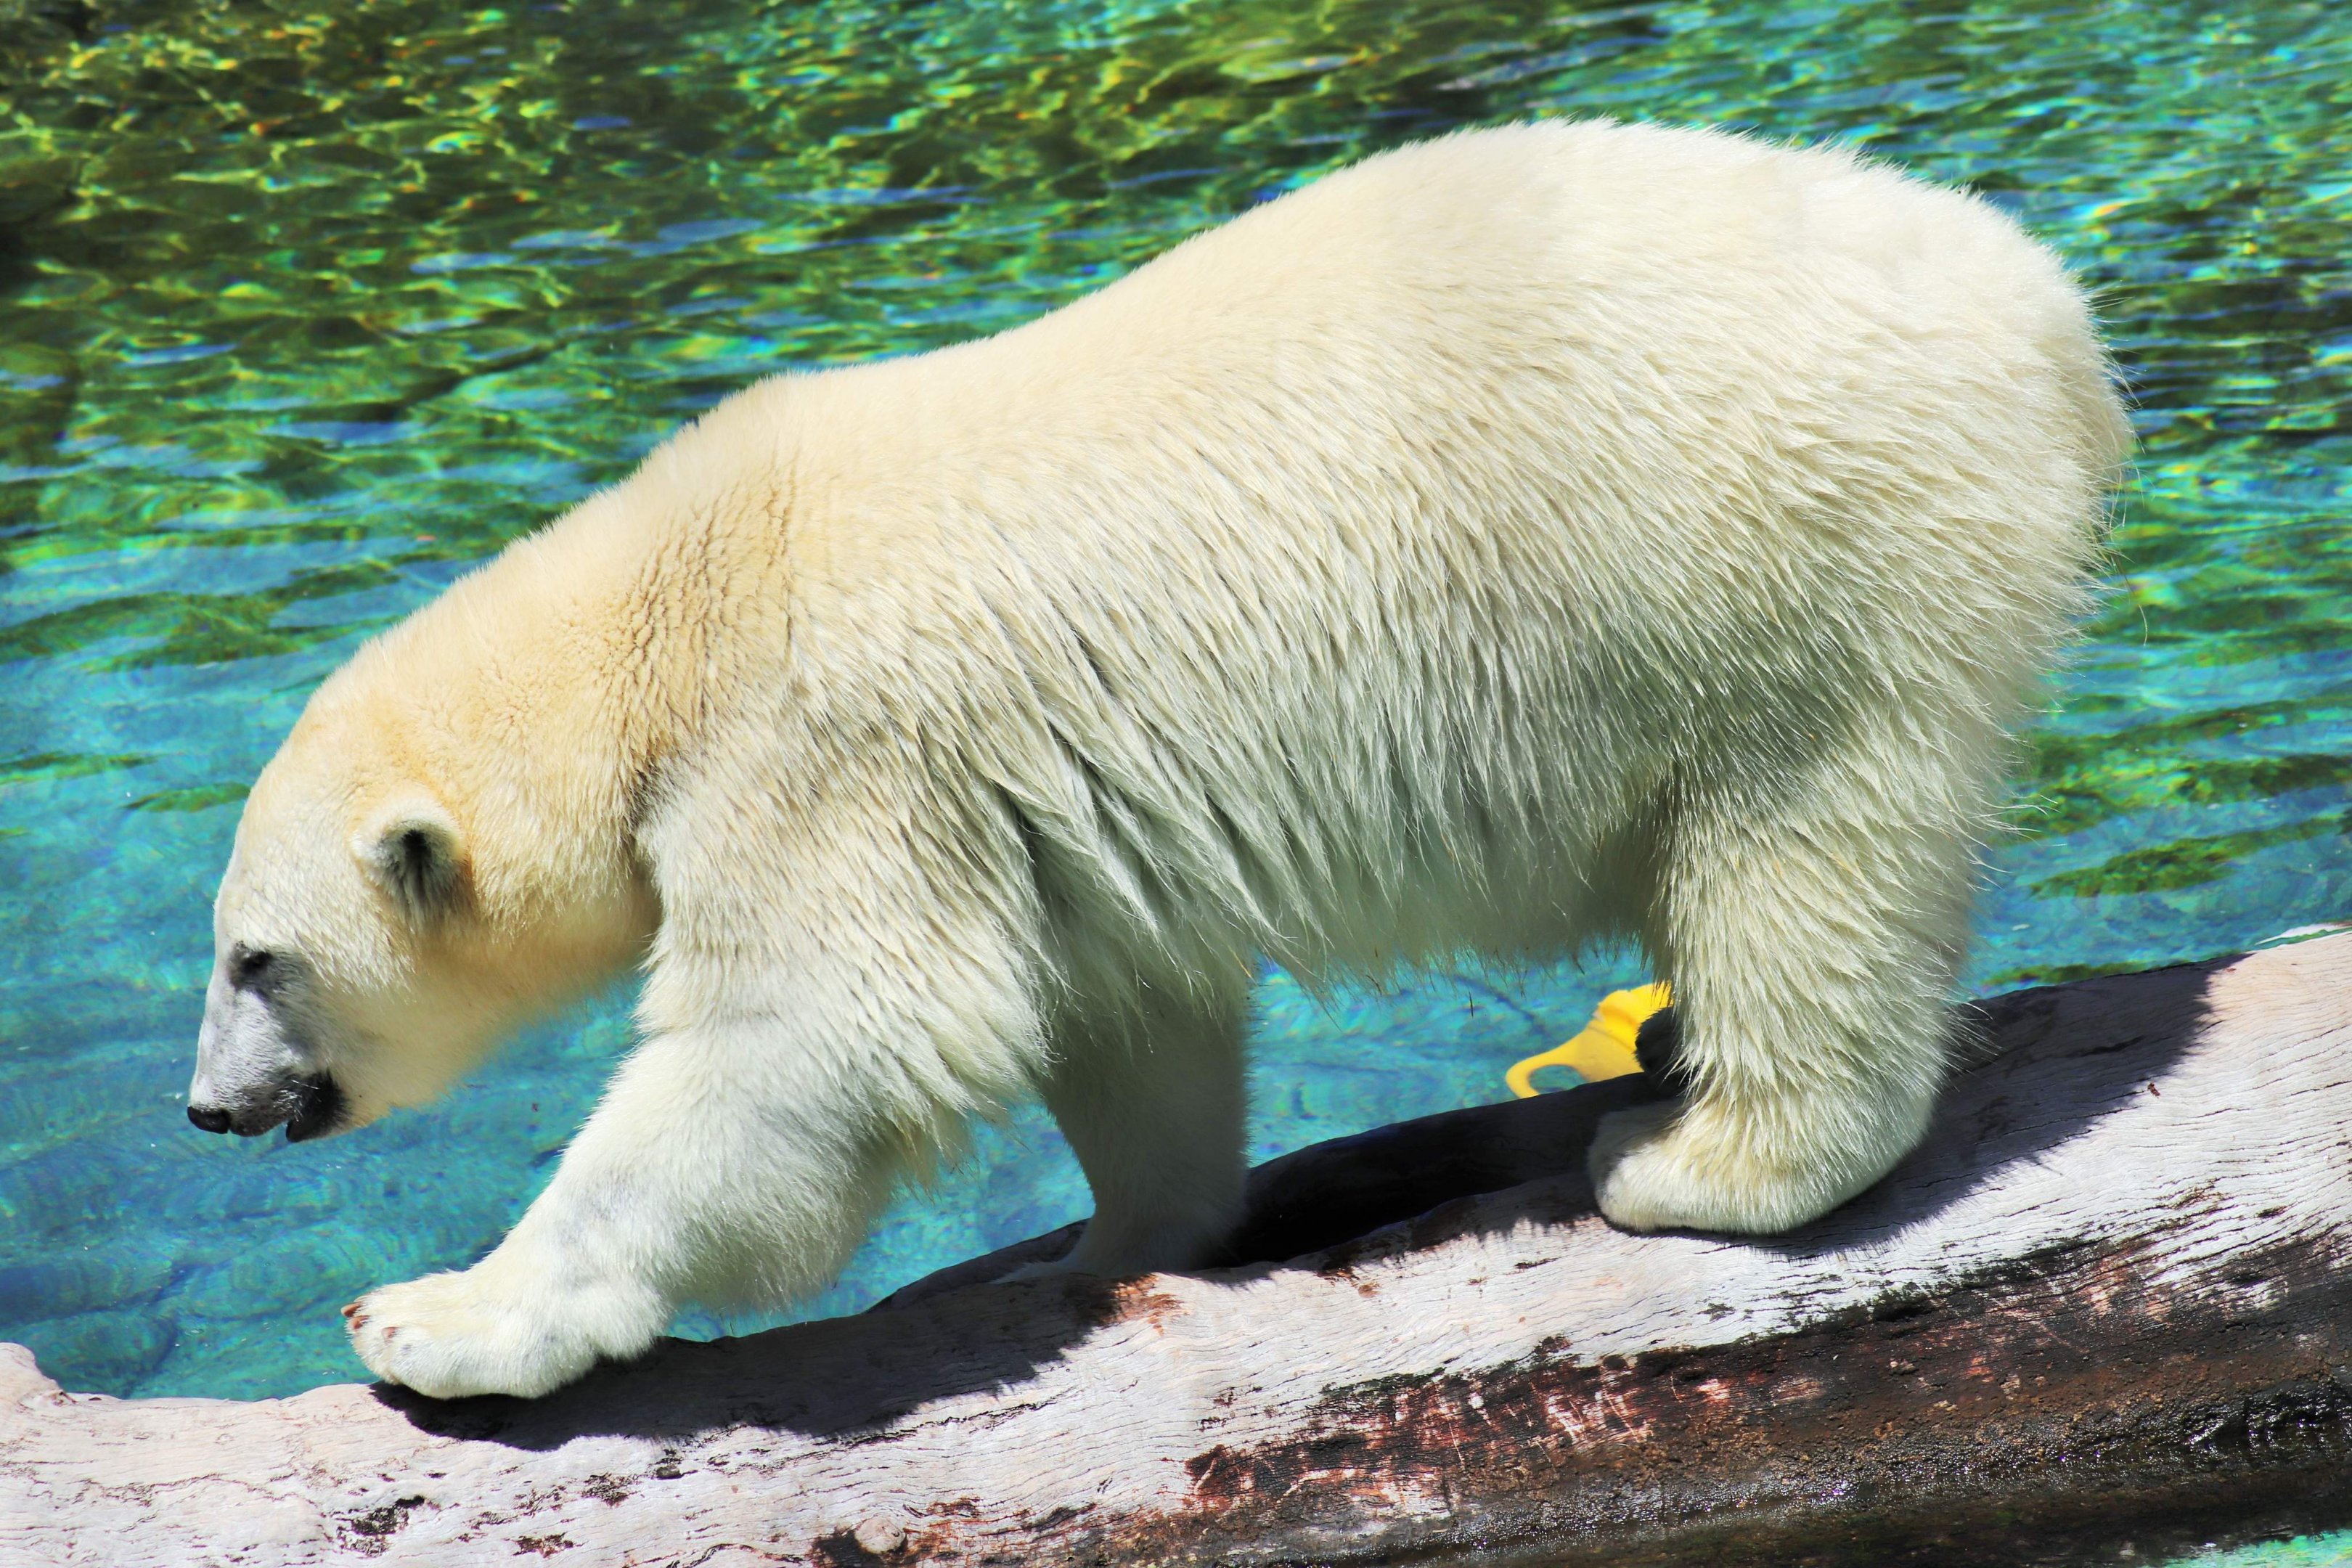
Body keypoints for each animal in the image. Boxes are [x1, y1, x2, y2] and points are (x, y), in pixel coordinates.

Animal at [185, 119, 2129, 1400]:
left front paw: (437, 1316)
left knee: (1795, 847)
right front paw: (1117, 1242)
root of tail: (2040, 309)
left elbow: (813, 1037)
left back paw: (1700, 1155)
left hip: (1767, 557)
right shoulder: (1020, 795)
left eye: (253, 957)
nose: (210, 1107)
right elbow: (1117, 1011)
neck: (666, 605)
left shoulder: (820, 750)